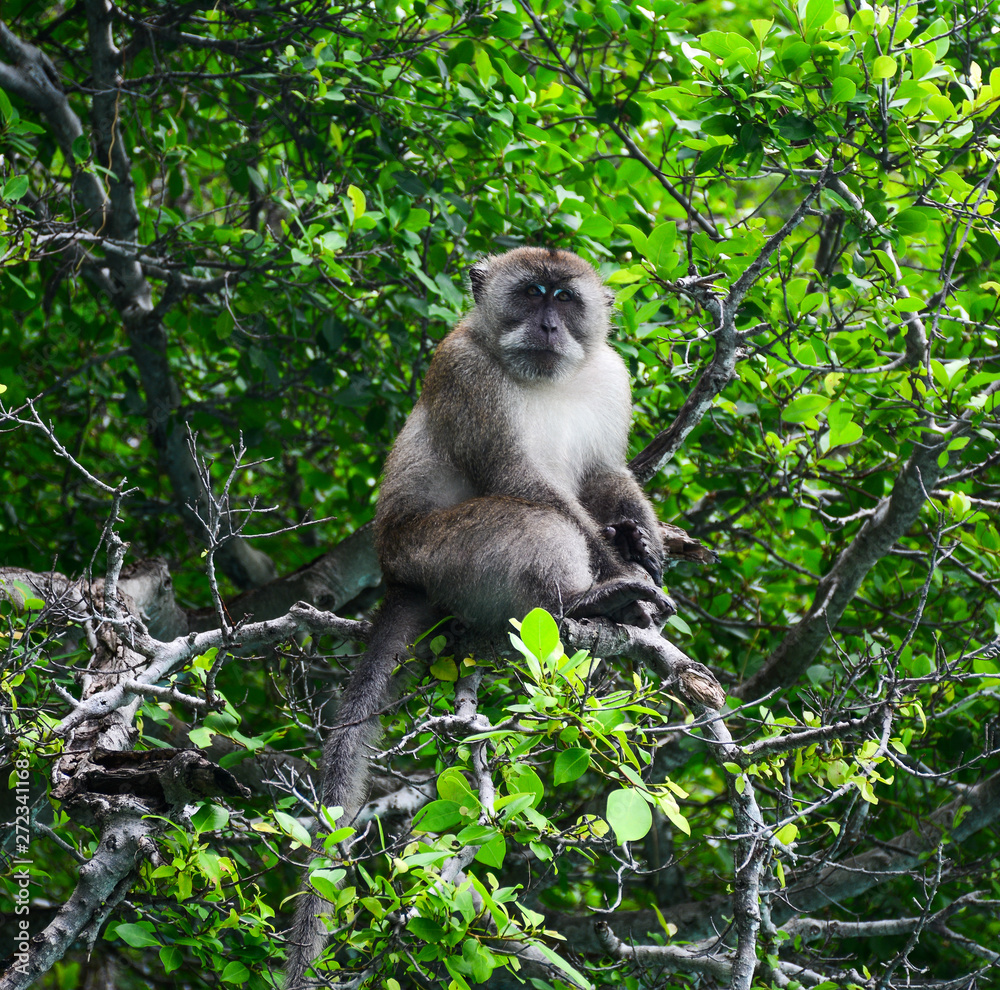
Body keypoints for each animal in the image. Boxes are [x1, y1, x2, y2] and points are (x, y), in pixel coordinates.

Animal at [285, 247, 670, 987]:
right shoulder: (464, 371)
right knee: (535, 526)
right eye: (530, 293)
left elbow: (602, 473)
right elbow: (525, 481)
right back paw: (586, 599)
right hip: (441, 553)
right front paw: (624, 574)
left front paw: (640, 536)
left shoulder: (610, 377)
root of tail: (397, 570)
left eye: (566, 299)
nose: (548, 325)